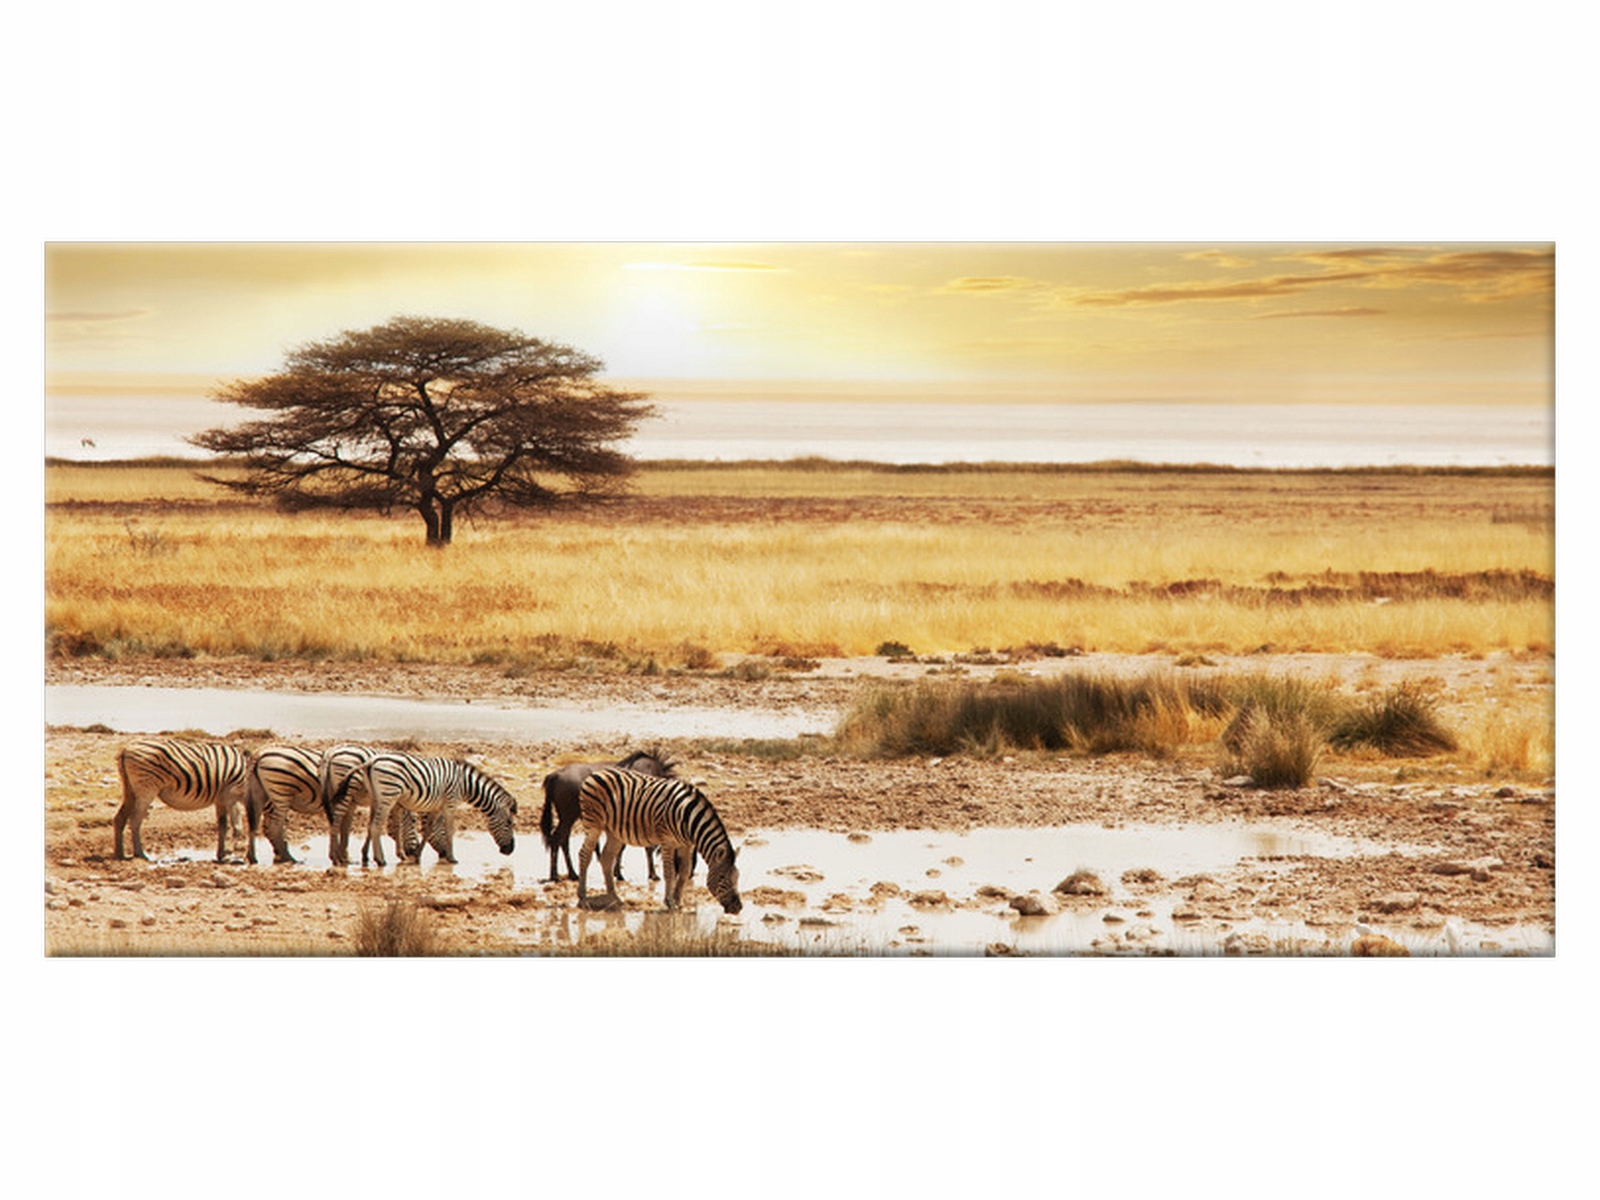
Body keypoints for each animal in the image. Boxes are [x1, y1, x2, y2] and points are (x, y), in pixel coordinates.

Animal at [114, 737, 254, 862]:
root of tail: (126, 748)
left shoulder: (220, 799)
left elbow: (223, 825)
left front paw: (222, 854)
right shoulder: (232, 794)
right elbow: (238, 826)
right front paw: (235, 851)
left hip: (130, 789)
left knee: (120, 818)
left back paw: (119, 854)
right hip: (146, 789)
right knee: (135, 819)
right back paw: (140, 854)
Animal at [330, 751, 518, 867]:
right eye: (509, 822)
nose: (510, 851)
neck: (465, 784)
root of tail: (371, 761)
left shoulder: (437, 807)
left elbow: (428, 830)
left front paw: (417, 856)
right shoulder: (450, 803)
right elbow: (450, 830)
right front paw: (452, 858)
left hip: (377, 796)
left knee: (371, 826)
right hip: (388, 795)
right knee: (375, 826)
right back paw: (380, 860)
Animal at [538, 749, 678, 883]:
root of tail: (554, 775)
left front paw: (617, 872)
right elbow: (643, 847)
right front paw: (649, 875)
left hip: (567, 818)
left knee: (563, 840)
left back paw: (571, 874)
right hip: (568, 816)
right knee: (557, 839)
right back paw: (556, 876)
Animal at [575, 767, 741, 914]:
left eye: (738, 877)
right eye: (722, 878)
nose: (738, 908)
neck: (688, 817)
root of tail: (596, 773)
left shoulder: (686, 845)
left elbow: (685, 871)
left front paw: (678, 901)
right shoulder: (667, 841)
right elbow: (669, 872)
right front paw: (669, 902)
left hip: (614, 832)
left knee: (606, 858)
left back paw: (614, 897)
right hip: (594, 824)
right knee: (584, 854)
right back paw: (582, 896)